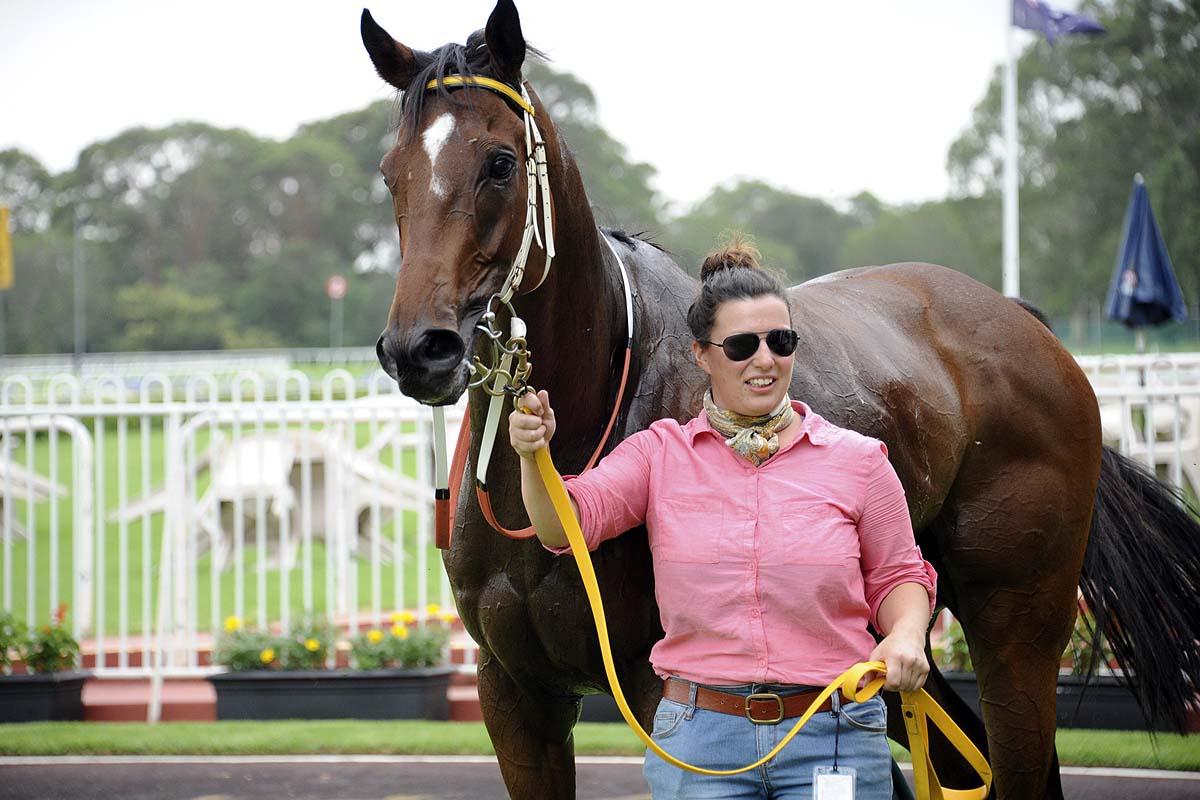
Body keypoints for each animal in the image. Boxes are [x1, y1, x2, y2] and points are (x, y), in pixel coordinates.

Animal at [362, 3, 1200, 797]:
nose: (418, 348)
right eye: (389, 173)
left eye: (500, 162)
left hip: (1017, 615)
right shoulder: (514, 693)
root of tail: (1027, 327)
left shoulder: (667, 691)